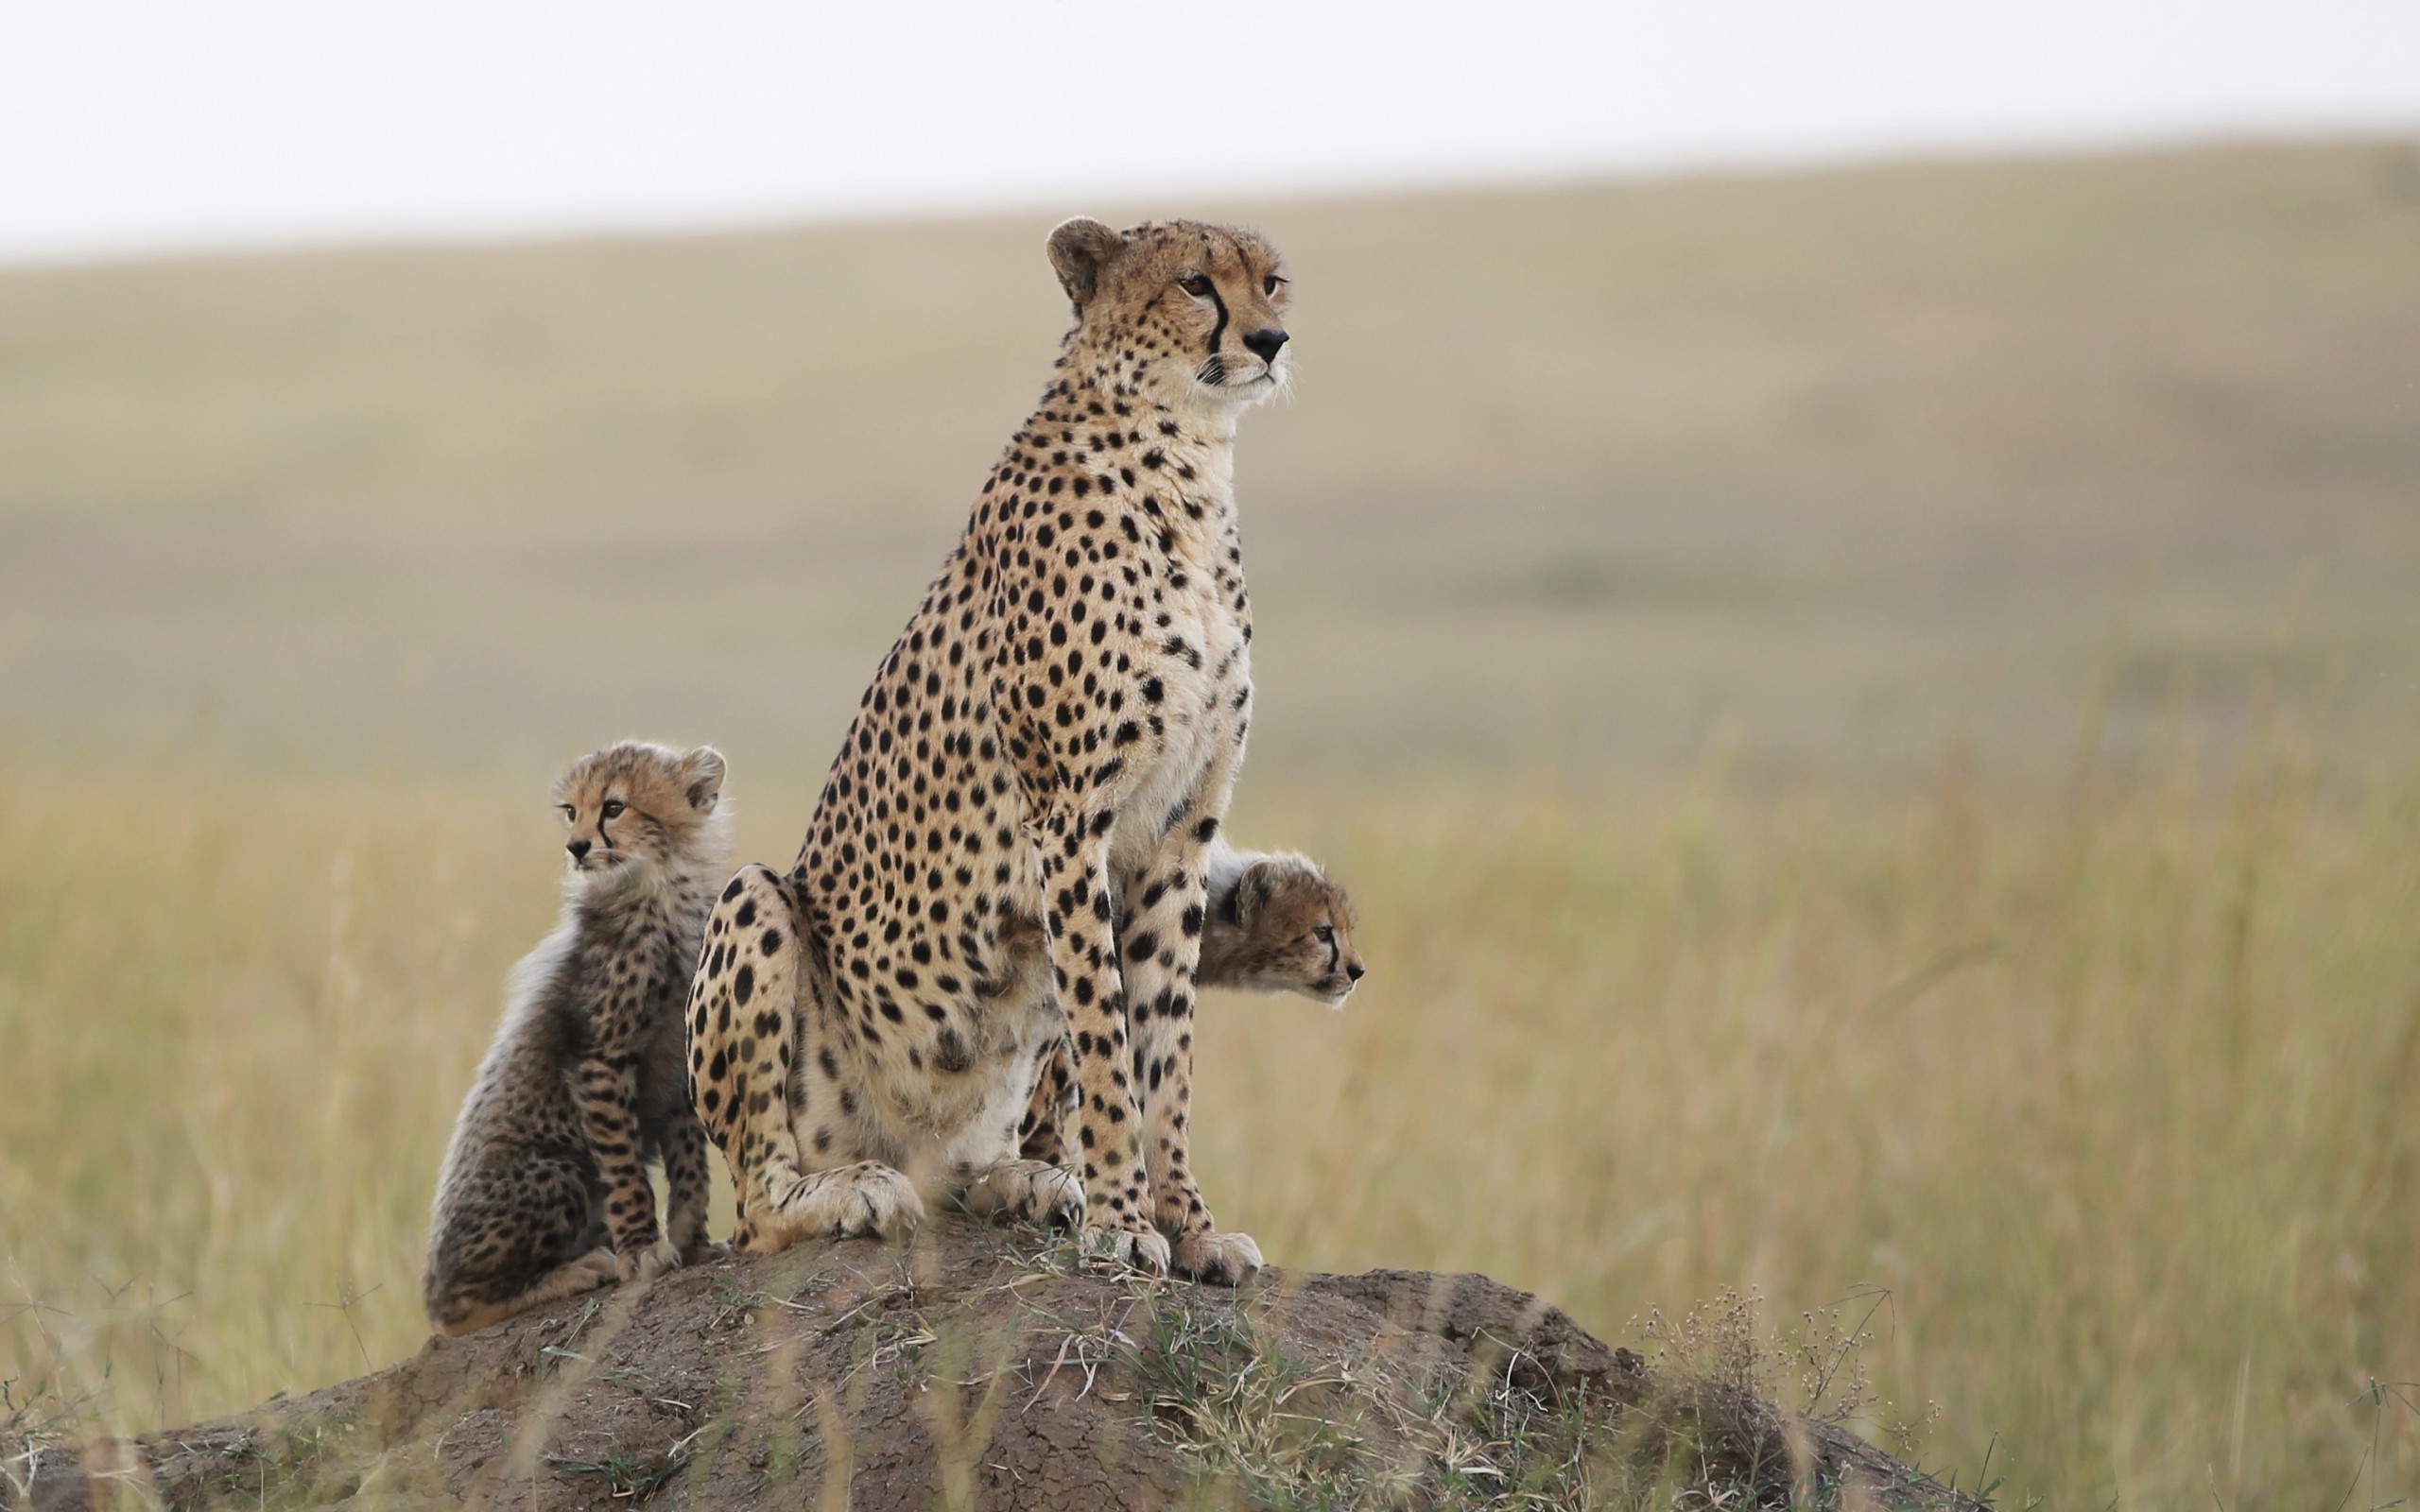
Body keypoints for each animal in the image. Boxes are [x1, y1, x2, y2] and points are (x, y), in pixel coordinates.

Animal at [423, 741, 728, 1335]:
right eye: (570, 811)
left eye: (613, 807)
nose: (577, 846)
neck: (660, 889)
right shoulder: (599, 1059)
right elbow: (625, 1165)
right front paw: (641, 1248)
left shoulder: (676, 1069)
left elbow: (690, 1165)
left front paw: (694, 1243)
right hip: (556, 1172)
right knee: (461, 1310)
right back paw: (577, 1270)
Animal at [684, 216, 1295, 1284]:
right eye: (1194, 283)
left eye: (1273, 281)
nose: (1269, 342)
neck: (1185, 458)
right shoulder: (1071, 821)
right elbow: (1106, 1039)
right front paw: (1127, 1222)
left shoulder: (1180, 830)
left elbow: (1165, 1049)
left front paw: (1190, 1224)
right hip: (756, 906)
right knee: (759, 1207)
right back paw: (851, 1192)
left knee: (966, 1166)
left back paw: (1022, 1182)